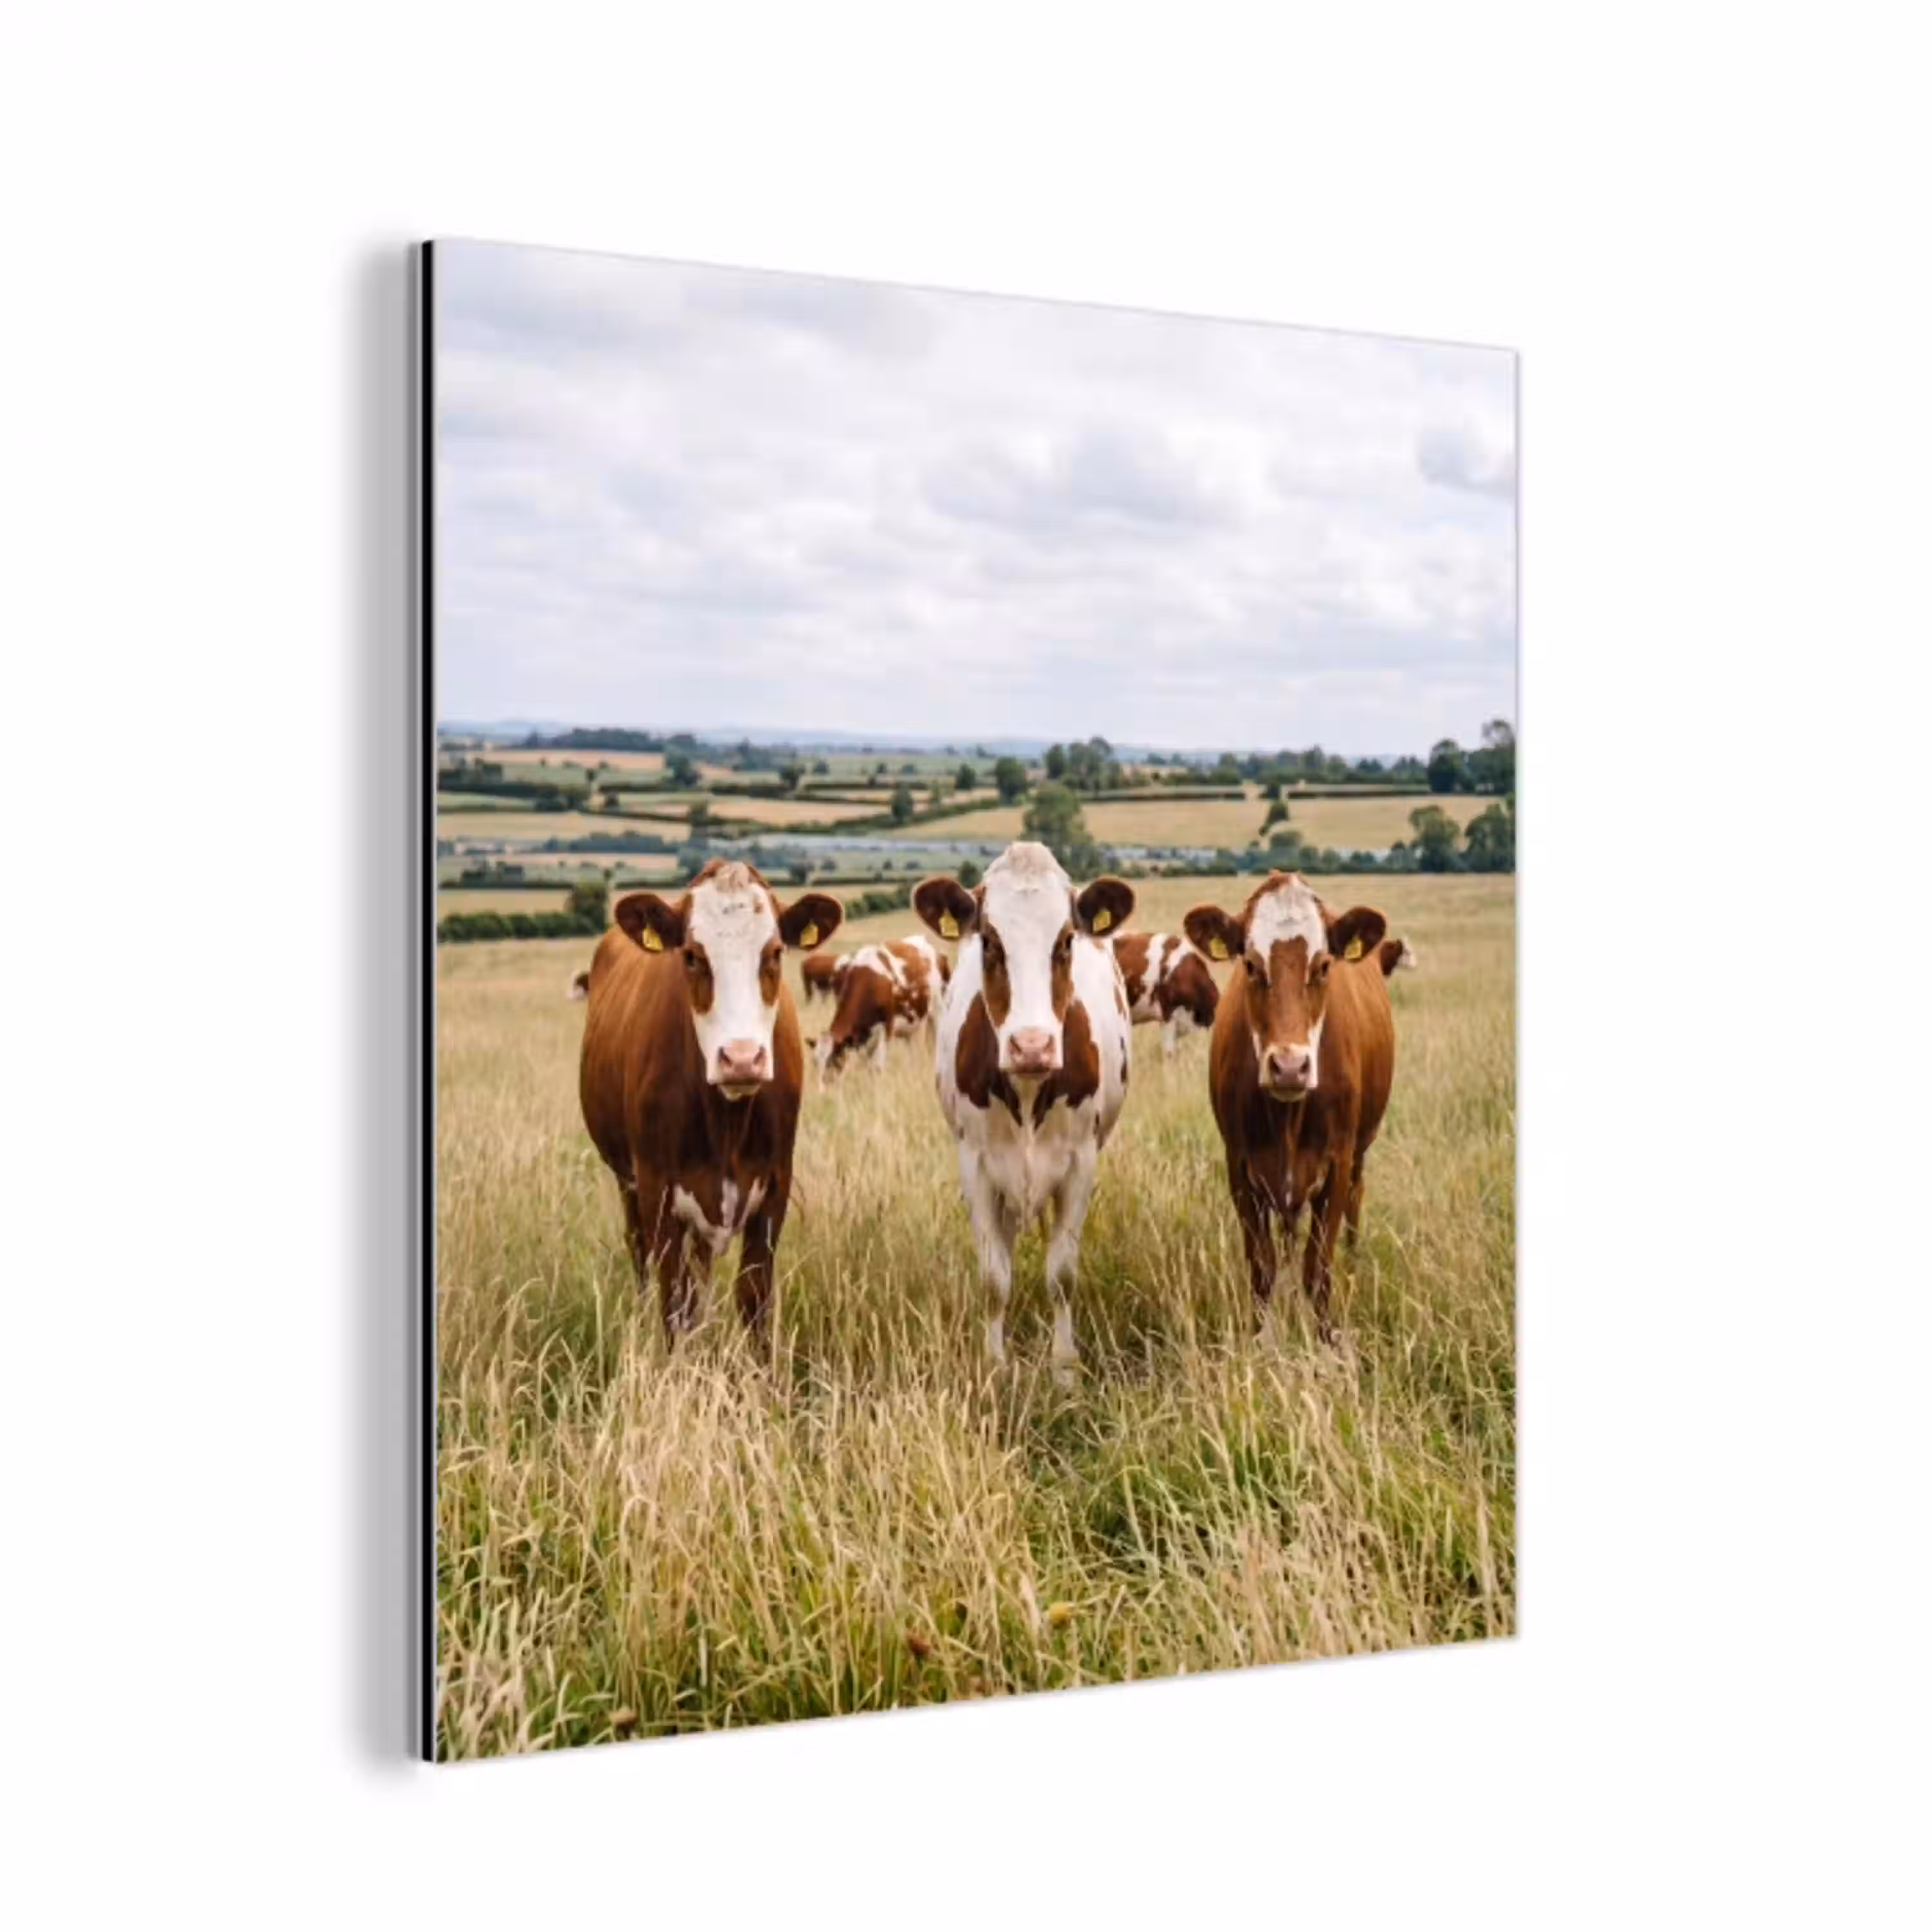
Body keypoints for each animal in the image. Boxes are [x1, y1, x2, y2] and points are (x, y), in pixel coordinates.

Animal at [578, 859, 844, 1354]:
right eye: (692, 956)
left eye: (775, 953)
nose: (741, 1058)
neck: (727, 1122)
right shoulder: (658, 1190)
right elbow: (673, 1303)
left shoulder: (774, 1187)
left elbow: (754, 1297)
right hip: (628, 1183)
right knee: (640, 1254)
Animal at [811, 935, 949, 1074]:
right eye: (815, 1063)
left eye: (833, 1059)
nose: (822, 1081)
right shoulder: (863, 1034)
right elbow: (866, 1064)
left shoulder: (887, 1027)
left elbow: (878, 1067)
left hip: (938, 1013)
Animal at [914, 843, 1134, 1383]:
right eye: (991, 942)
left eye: (1066, 941)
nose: (1031, 1045)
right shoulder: (976, 1165)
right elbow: (995, 1277)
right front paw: (995, 1367)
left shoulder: (1080, 1165)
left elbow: (1062, 1274)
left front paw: (1065, 1370)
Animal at [1184, 871, 1393, 1346]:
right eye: (1250, 965)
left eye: (1324, 966)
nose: (1290, 1066)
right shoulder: (1240, 1167)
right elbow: (1262, 1268)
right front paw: (1262, 1340)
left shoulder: (1337, 1164)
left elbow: (1318, 1268)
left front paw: (1326, 1340)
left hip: (1361, 1150)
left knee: (1356, 1200)